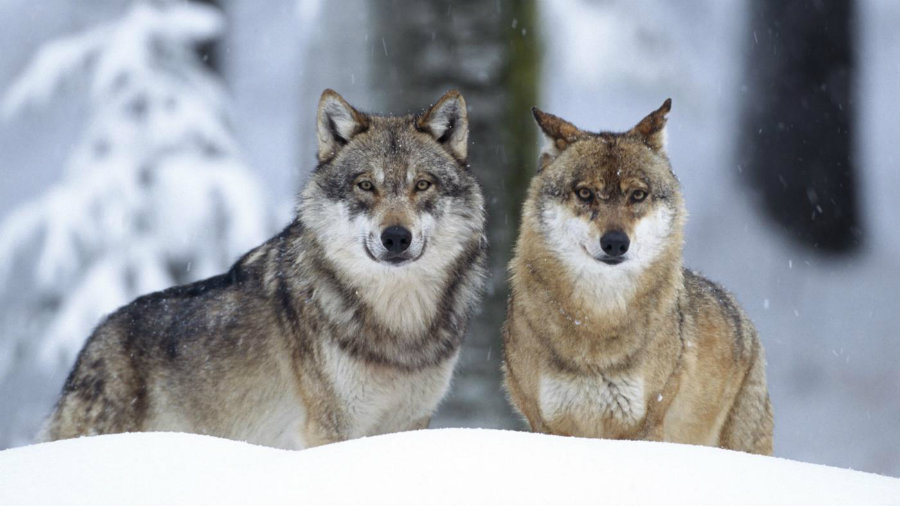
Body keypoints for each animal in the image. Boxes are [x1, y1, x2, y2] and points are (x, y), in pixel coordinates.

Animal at [43, 89, 488, 448]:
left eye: (422, 185)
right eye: (365, 185)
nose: (396, 237)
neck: (400, 328)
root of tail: (90, 344)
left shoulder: (413, 421)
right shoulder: (330, 428)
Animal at [500, 100, 772, 454]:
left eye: (638, 195)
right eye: (585, 193)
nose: (616, 242)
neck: (597, 322)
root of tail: (742, 315)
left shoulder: (643, 424)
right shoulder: (546, 423)